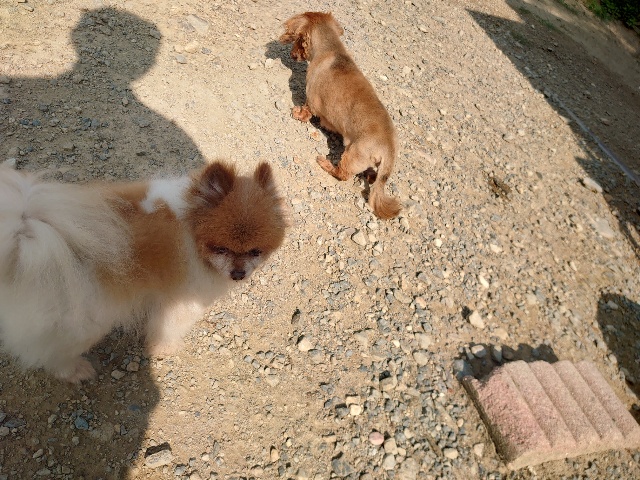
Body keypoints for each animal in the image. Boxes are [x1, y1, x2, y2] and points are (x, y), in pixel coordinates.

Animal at [0, 161, 287, 383]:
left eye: (255, 251)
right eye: (221, 248)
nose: (239, 273)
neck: (191, 223)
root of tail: (23, 240)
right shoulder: (184, 301)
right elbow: (169, 327)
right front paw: (164, 348)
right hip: (83, 321)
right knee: (52, 354)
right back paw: (74, 371)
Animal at [279, 11, 402, 219]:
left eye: (298, 40)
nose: (292, 55)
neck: (330, 49)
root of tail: (389, 149)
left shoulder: (311, 98)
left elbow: (306, 111)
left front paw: (297, 113)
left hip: (352, 154)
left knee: (342, 174)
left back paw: (325, 163)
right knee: (372, 174)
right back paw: (370, 175)